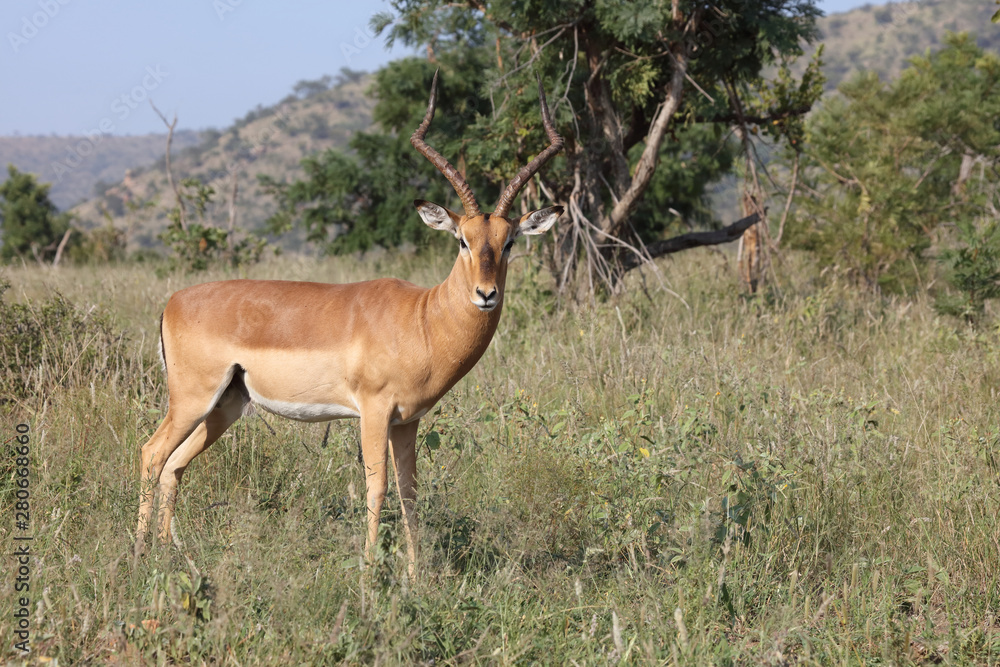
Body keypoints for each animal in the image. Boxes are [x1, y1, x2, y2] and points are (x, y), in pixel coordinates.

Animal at [134, 72, 564, 574]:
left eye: (509, 241)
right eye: (462, 239)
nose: (486, 294)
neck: (421, 319)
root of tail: (173, 303)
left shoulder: (407, 421)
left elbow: (410, 492)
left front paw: (416, 577)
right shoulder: (374, 412)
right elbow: (377, 488)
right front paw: (371, 573)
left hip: (225, 406)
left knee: (174, 465)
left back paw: (167, 555)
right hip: (192, 399)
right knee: (152, 454)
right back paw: (139, 556)